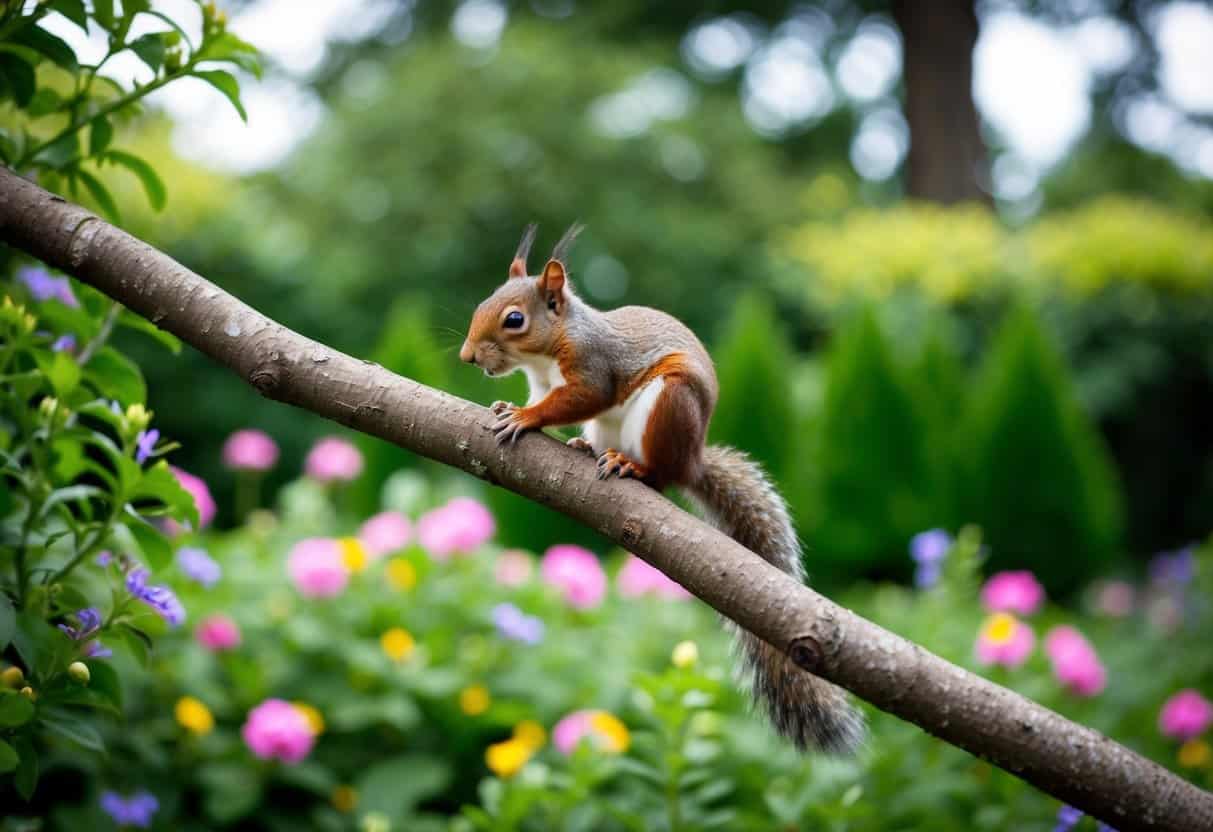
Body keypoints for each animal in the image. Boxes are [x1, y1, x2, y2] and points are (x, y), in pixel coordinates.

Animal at [459, 223, 864, 754]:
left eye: (514, 319)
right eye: (482, 302)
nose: (467, 357)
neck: (550, 351)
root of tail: (691, 459)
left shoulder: (593, 370)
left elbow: (575, 399)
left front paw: (527, 418)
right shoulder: (543, 381)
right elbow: (541, 398)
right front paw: (510, 406)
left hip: (667, 403)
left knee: (660, 474)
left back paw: (631, 466)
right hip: (613, 426)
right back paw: (587, 449)